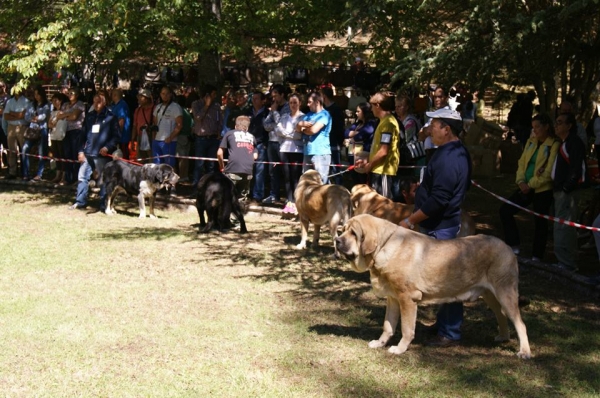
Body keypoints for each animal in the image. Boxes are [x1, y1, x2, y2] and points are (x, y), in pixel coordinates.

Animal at [336, 216, 532, 360]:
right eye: (342, 230)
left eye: (353, 233)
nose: (337, 240)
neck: (384, 245)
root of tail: (507, 247)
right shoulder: (393, 299)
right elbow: (388, 326)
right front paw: (380, 343)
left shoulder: (408, 299)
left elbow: (407, 329)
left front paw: (400, 348)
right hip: (490, 295)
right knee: (501, 315)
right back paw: (504, 336)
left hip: (505, 293)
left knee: (520, 323)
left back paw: (524, 352)